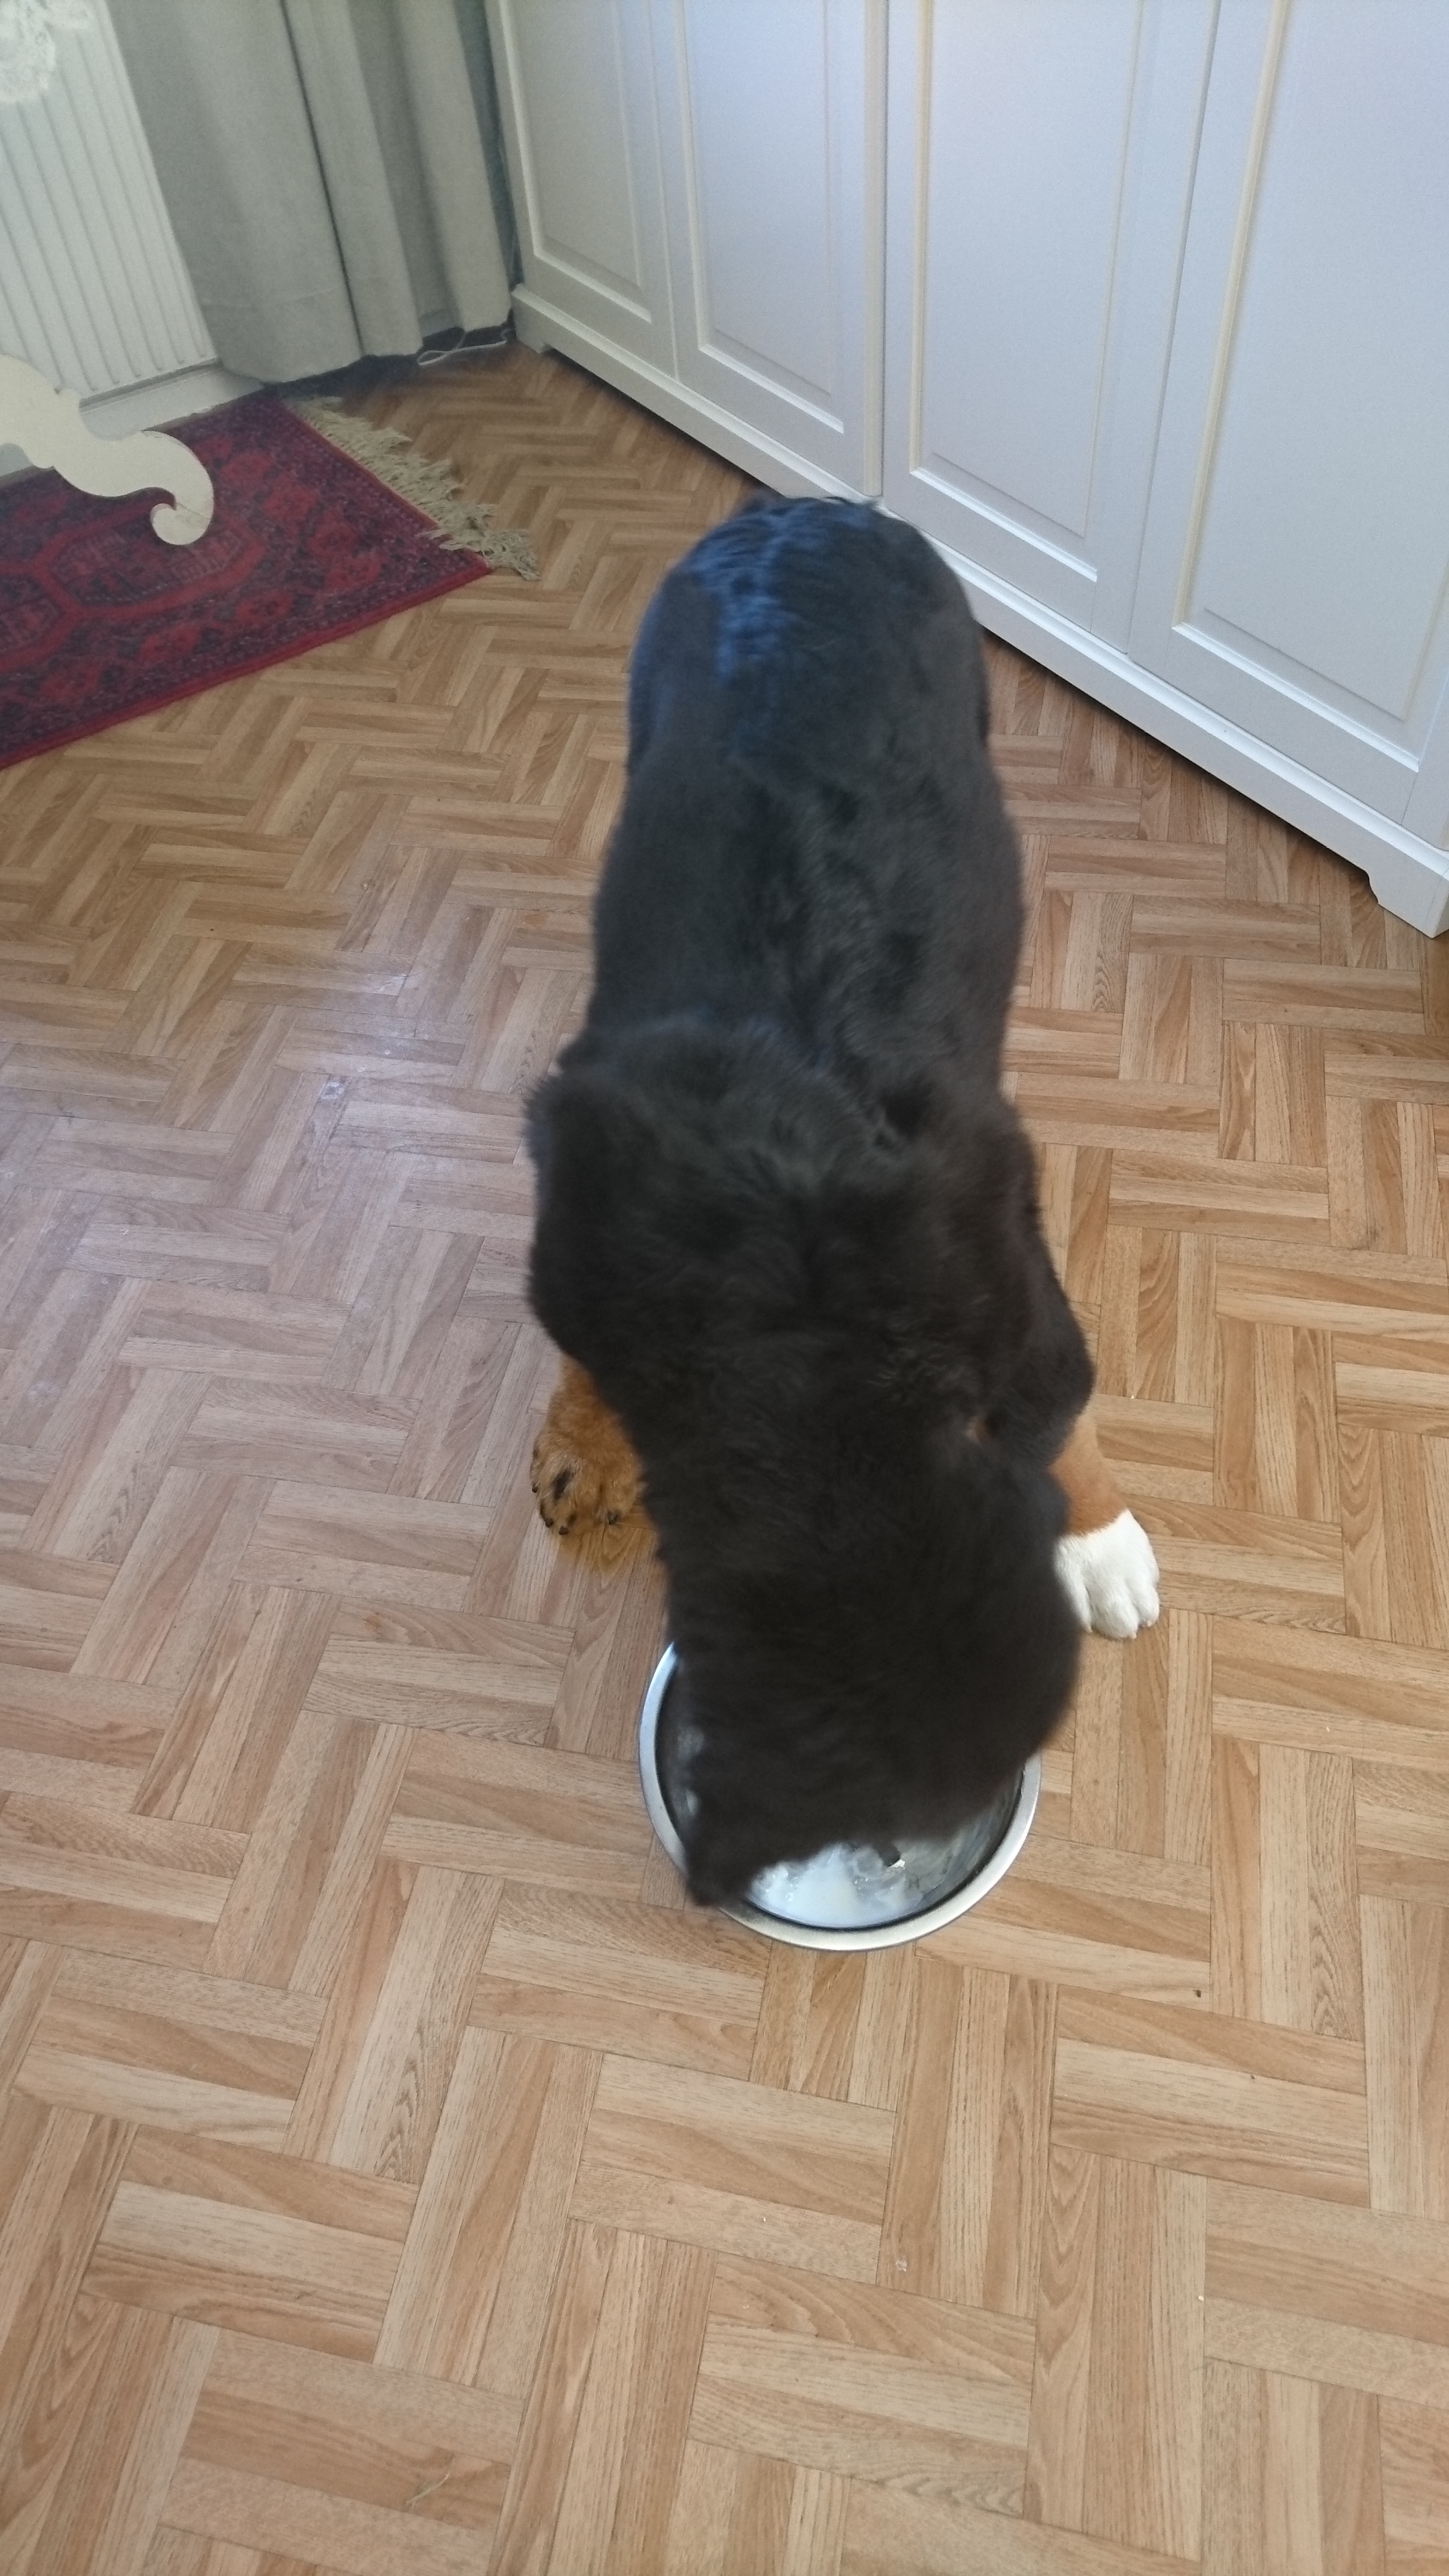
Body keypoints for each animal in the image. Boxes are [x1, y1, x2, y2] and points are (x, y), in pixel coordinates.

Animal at [525, 497, 1158, 1906]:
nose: (888, 1855)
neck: (793, 1320)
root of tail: (802, 509)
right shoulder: (576, 1202)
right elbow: (583, 1353)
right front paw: (588, 1440)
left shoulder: (1013, 1276)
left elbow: (1061, 1414)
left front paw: (1099, 1539)